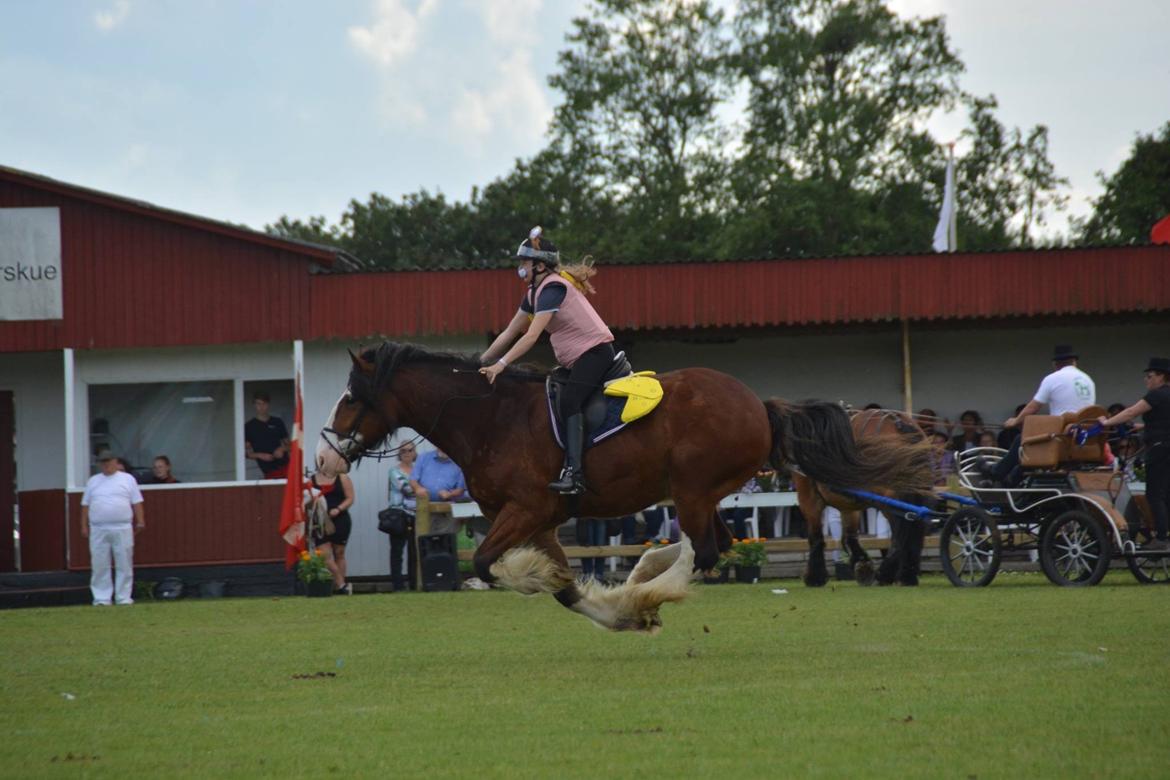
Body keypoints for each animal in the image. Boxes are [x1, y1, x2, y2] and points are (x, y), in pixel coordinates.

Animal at [795, 411, 931, 589]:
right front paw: (862, 565)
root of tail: (899, 424)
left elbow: (816, 535)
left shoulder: (808, 495)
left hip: (889, 500)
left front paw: (814, 576)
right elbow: (850, 534)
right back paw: (906, 574)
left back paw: (887, 573)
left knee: (901, 534)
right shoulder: (848, 502)